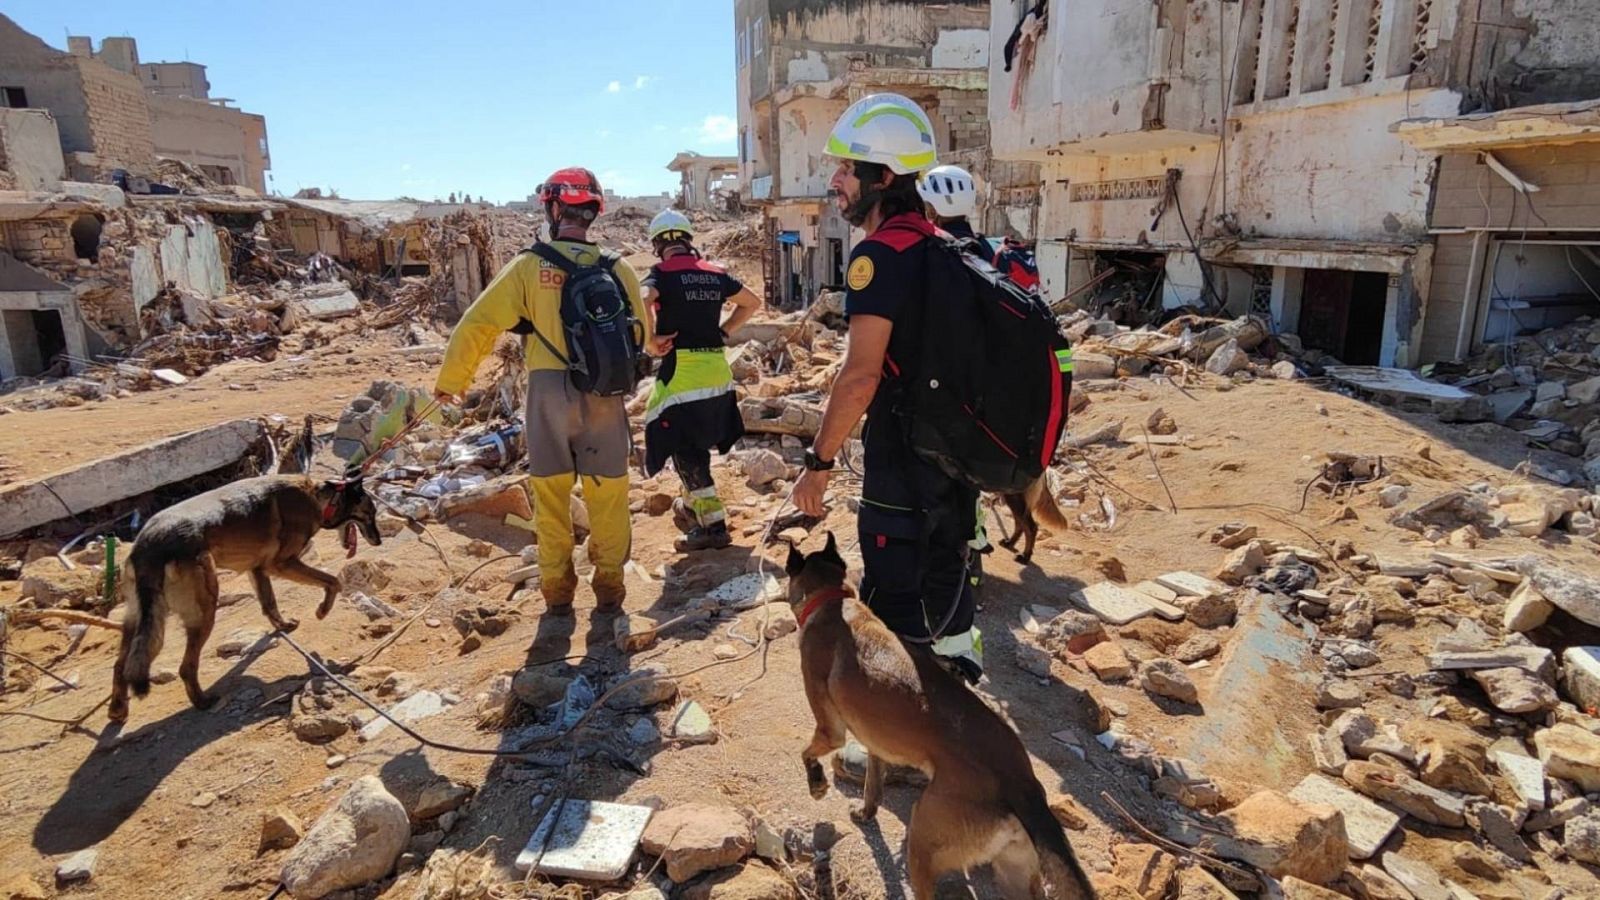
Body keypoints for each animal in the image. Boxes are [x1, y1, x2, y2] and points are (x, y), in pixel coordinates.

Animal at [108, 474, 380, 717]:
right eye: (370, 514)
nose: (378, 541)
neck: (318, 495)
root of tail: (148, 545)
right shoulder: (282, 564)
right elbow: (333, 581)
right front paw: (322, 610)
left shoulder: (258, 569)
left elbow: (269, 603)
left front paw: (283, 625)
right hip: (205, 609)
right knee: (186, 667)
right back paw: (202, 701)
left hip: (138, 621)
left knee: (121, 665)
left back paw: (118, 709)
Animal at [784, 534, 1094, 890]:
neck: (833, 601)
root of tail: (1021, 784)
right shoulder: (876, 747)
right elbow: (873, 789)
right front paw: (865, 813)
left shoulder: (829, 730)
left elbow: (807, 752)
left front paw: (816, 784)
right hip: (1015, 872)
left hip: (923, 838)